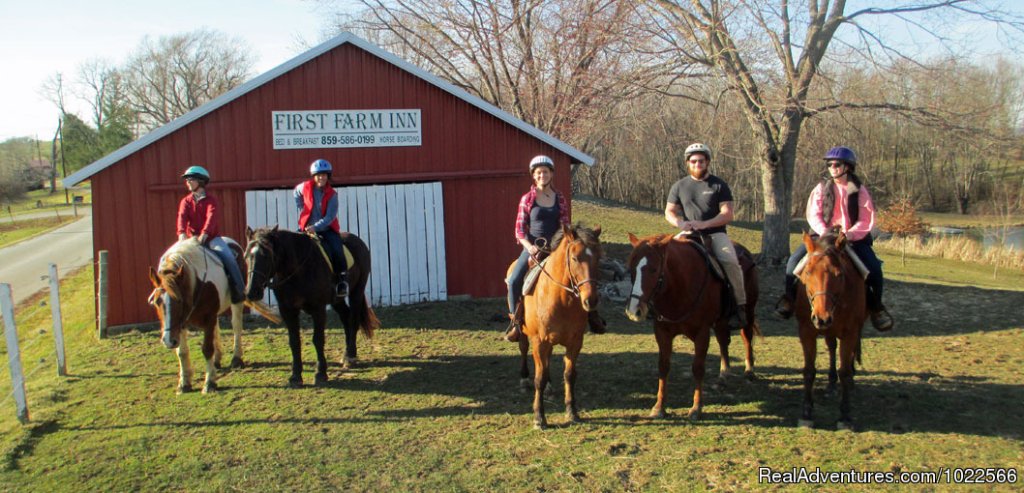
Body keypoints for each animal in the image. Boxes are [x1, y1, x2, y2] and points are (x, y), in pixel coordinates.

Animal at [146, 236, 278, 393]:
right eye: (156, 302)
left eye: (179, 300)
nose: (168, 340)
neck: (197, 281)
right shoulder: (181, 324)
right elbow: (182, 353)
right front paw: (184, 384)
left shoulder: (208, 317)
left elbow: (207, 349)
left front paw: (209, 383)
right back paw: (217, 360)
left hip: (236, 302)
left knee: (236, 327)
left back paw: (236, 358)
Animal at [243, 224, 380, 385]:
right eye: (247, 256)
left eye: (266, 255)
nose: (252, 292)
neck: (297, 269)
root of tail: (357, 240)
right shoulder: (287, 310)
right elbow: (294, 341)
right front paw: (295, 376)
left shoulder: (318, 308)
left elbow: (318, 339)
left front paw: (320, 373)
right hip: (336, 300)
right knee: (346, 318)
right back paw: (347, 353)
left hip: (356, 292)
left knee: (353, 320)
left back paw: (350, 357)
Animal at [509, 221, 598, 428]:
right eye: (575, 258)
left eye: (598, 258)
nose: (590, 300)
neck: (561, 299)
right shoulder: (539, 341)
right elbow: (539, 379)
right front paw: (539, 417)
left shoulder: (575, 342)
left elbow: (570, 375)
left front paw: (572, 411)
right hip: (524, 333)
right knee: (523, 349)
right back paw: (524, 379)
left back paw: (550, 387)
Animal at [618, 233, 757, 418]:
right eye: (632, 269)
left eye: (654, 269)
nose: (634, 310)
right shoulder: (662, 332)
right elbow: (663, 366)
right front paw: (659, 407)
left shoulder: (702, 333)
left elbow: (697, 368)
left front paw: (696, 408)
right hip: (721, 321)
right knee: (723, 340)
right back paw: (724, 374)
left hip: (749, 310)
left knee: (746, 336)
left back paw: (749, 370)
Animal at [790, 230, 864, 426]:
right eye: (808, 272)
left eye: (839, 274)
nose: (821, 317)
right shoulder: (806, 331)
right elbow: (809, 371)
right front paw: (806, 412)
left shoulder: (850, 332)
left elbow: (844, 372)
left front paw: (845, 415)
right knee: (831, 347)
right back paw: (831, 383)